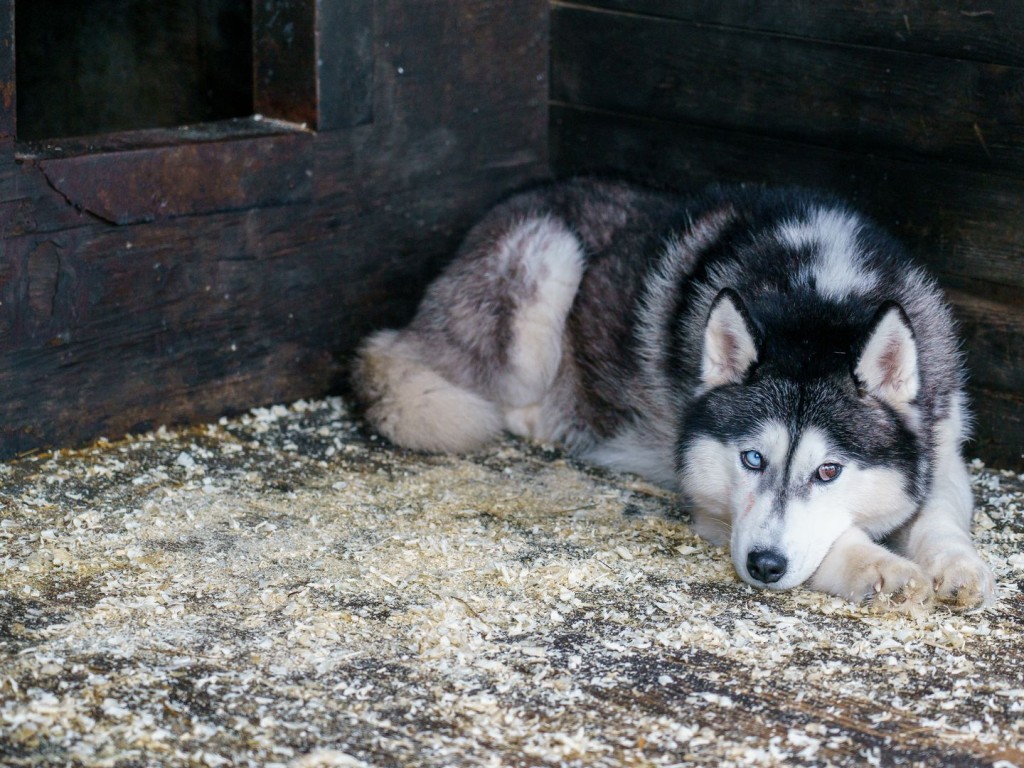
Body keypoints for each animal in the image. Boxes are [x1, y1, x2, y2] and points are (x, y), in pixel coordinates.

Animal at [354, 180, 991, 614]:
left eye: (828, 471)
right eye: (751, 459)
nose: (764, 566)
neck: (819, 301)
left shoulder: (941, 442)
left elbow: (940, 512)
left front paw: (958, 566)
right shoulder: (717, 508)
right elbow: (839, 541)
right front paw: (879, 566)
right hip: (546, 263)